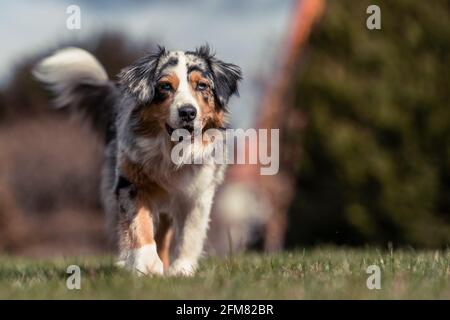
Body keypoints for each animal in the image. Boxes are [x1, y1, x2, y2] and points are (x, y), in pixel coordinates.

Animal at [34, 45, 243, 276]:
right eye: (165, 86)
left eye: (202, 85)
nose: (188, 112)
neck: (173, 154)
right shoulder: (131, 181)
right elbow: (138, 224)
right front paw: (146, 264)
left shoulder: (199, 191)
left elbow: (191, 232)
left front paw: (182, 269)